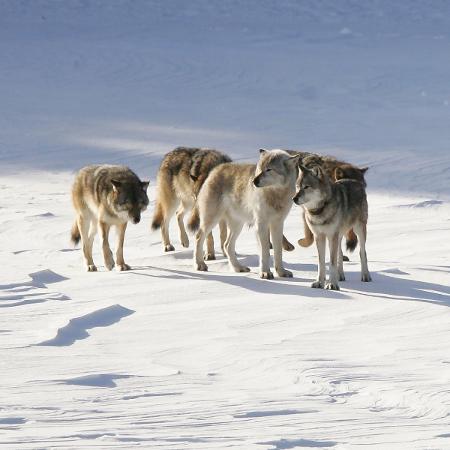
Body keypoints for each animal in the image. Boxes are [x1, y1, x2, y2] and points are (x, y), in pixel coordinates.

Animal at [188, 149, 300, 280]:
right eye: (259, 169)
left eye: (269, 169)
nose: (254, 181)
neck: (275, 195)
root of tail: (215, 170)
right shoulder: (261, 225)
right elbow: (265, 252)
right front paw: (265, 273)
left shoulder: (278, 224)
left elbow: (278, 252)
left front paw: (281, 272)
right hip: (212, 220)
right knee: (198, 237)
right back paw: (200, 264)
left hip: (238, 225)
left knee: (227, 245)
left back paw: (238, 268)